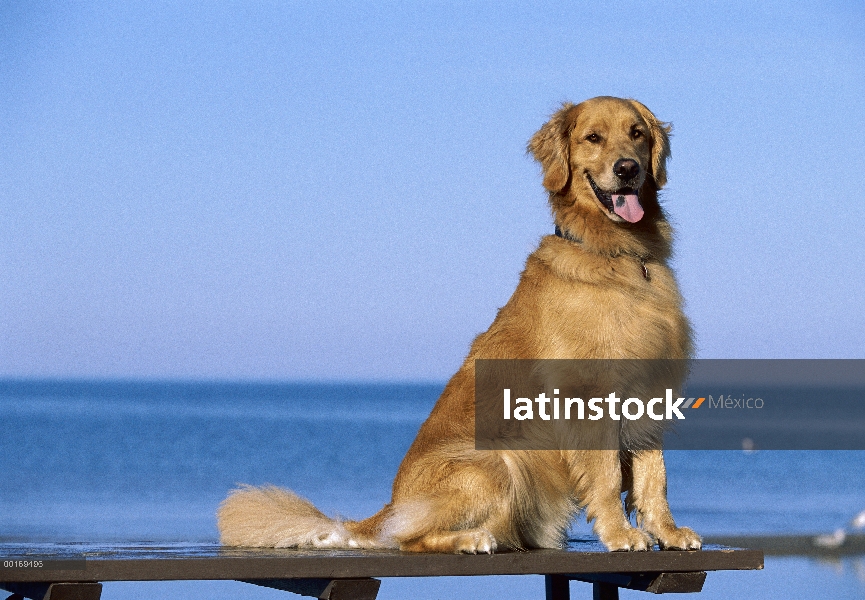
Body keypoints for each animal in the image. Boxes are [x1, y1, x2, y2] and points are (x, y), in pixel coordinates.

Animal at [216, 97, 704, 552]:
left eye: (637, 133)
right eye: (593, 138)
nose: (627, 169)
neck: (621, 257)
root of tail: (388, 507)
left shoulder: (648, 392)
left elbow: (654, 476)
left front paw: (667, 531)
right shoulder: (588, 396)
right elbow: (605, 476)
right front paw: (621, 534)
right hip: (493, 464)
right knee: (410, 537)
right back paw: (469, 539)